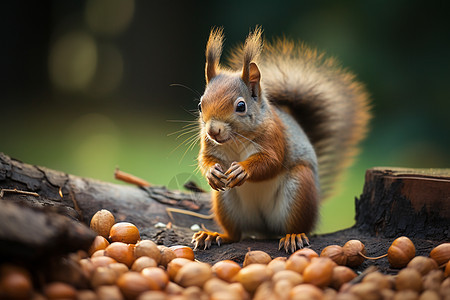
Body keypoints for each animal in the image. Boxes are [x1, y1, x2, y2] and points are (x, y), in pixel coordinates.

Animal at [192, 27, 370, 253]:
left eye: (241, 106)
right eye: (200, 105)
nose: (213, 131)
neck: (235, 139)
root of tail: (264, 228)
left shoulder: (275, 137)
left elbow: (271, 162)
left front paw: (242, 169)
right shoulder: (209, 146)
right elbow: (204, 158)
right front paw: (212, 172)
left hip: (300, 189)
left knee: (296, 225)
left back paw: (293, 236)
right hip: (225, 201)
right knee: (235, 234)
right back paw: (215, 235)